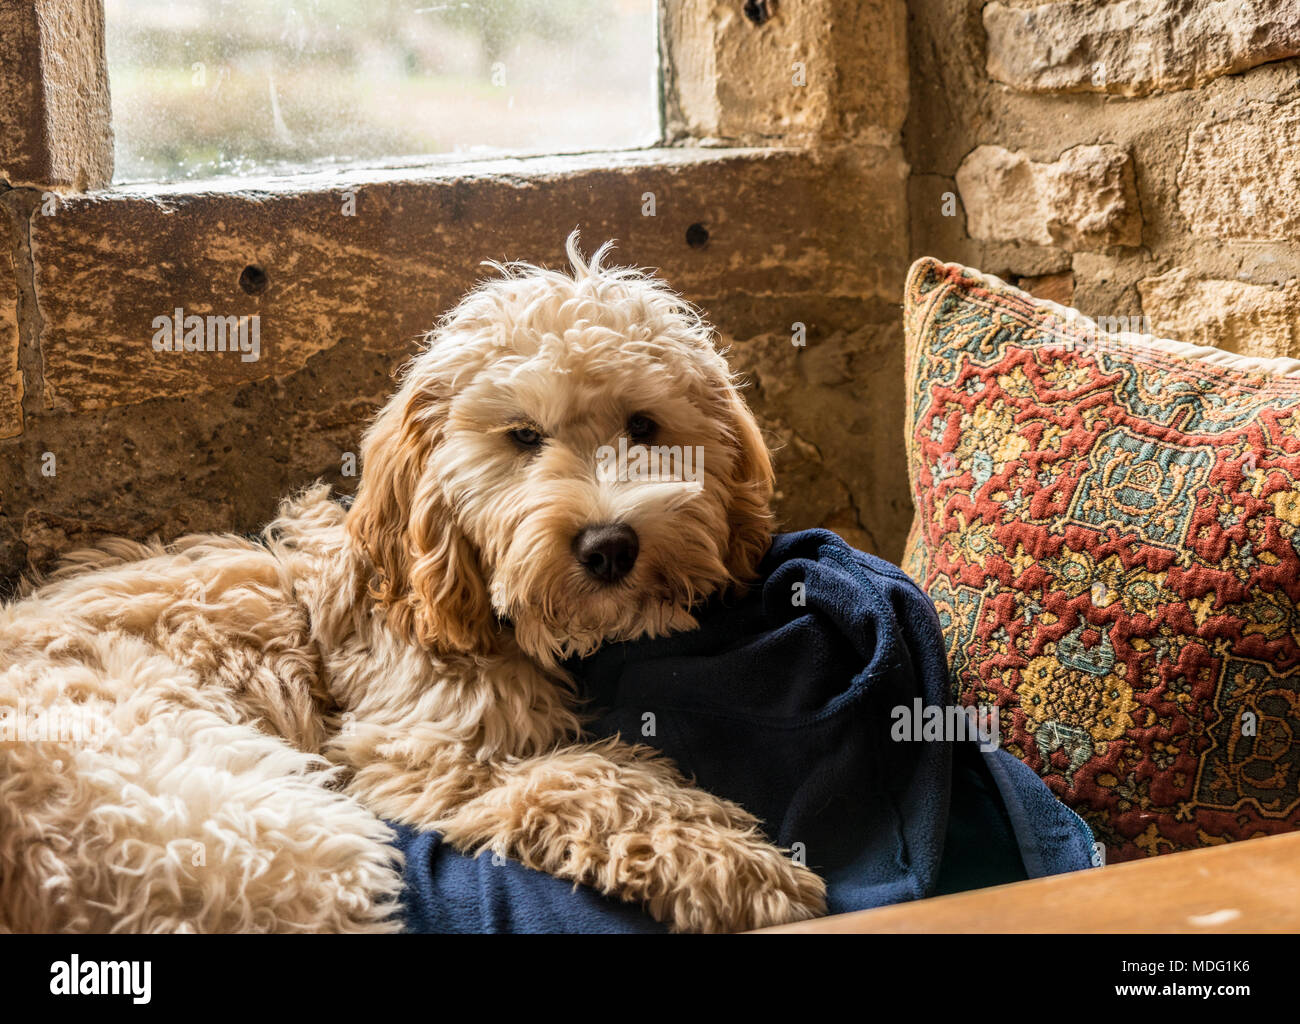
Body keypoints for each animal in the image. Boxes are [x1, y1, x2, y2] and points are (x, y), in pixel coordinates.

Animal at [0, 237, 826, 935]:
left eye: (645, 426)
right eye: (523, 437)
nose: (609, 545)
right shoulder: (424, 757)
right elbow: (582, 778)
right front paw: (739, 865)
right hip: (268, 843)